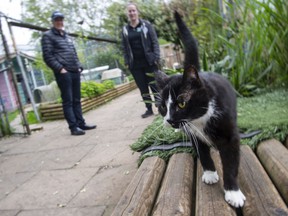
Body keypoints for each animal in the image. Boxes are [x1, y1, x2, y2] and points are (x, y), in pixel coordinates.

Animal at [154, 11, 246, 208]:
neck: (199, 120)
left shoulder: (230, 135)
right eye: (162, 106)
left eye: (181, 103)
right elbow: (202, 152)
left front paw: (233, 193)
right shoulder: (193, 134)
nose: (169, 120)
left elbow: (231, 162)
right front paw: (210, 173)